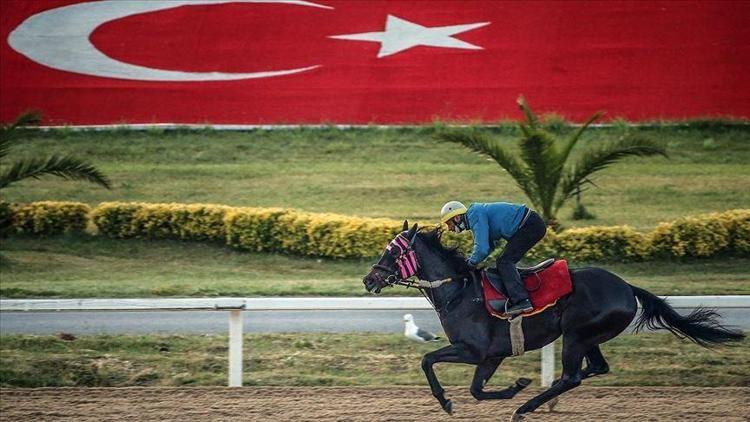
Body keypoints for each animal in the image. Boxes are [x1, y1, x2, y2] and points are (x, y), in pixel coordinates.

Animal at [364, 223, 748, 420]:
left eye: (393, 251)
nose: (369, 279)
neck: (459, 290)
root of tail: (627, 288)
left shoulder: (474, 350)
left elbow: (427, 359)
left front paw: (446, 401)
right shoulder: (492, 355)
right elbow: (476, 389)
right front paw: (515, 385)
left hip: (576, 335)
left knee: (571, 376)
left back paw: (526, 407)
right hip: (589, 337)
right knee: (595, 368)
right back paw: (538, 400)